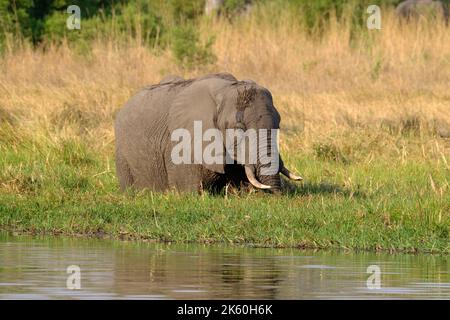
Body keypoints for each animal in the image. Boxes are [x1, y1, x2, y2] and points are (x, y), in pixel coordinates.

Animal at [114, 72, 300, 192]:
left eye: (278, 126)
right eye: (240, 129)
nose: (276, 194)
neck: (223, 90)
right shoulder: (181, 141)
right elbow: (188, 192)